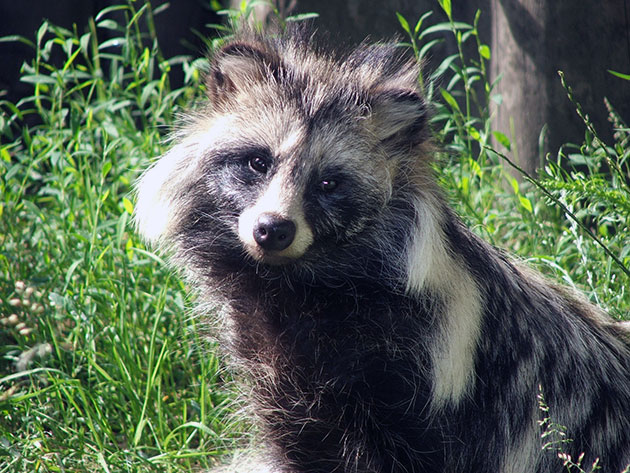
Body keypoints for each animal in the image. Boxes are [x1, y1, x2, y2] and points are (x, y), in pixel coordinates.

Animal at [136, 29, 630, 472]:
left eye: (328, 183)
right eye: (259, 161)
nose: (272, 230)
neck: (299, 287)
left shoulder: (435, 375)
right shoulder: (283, 379)